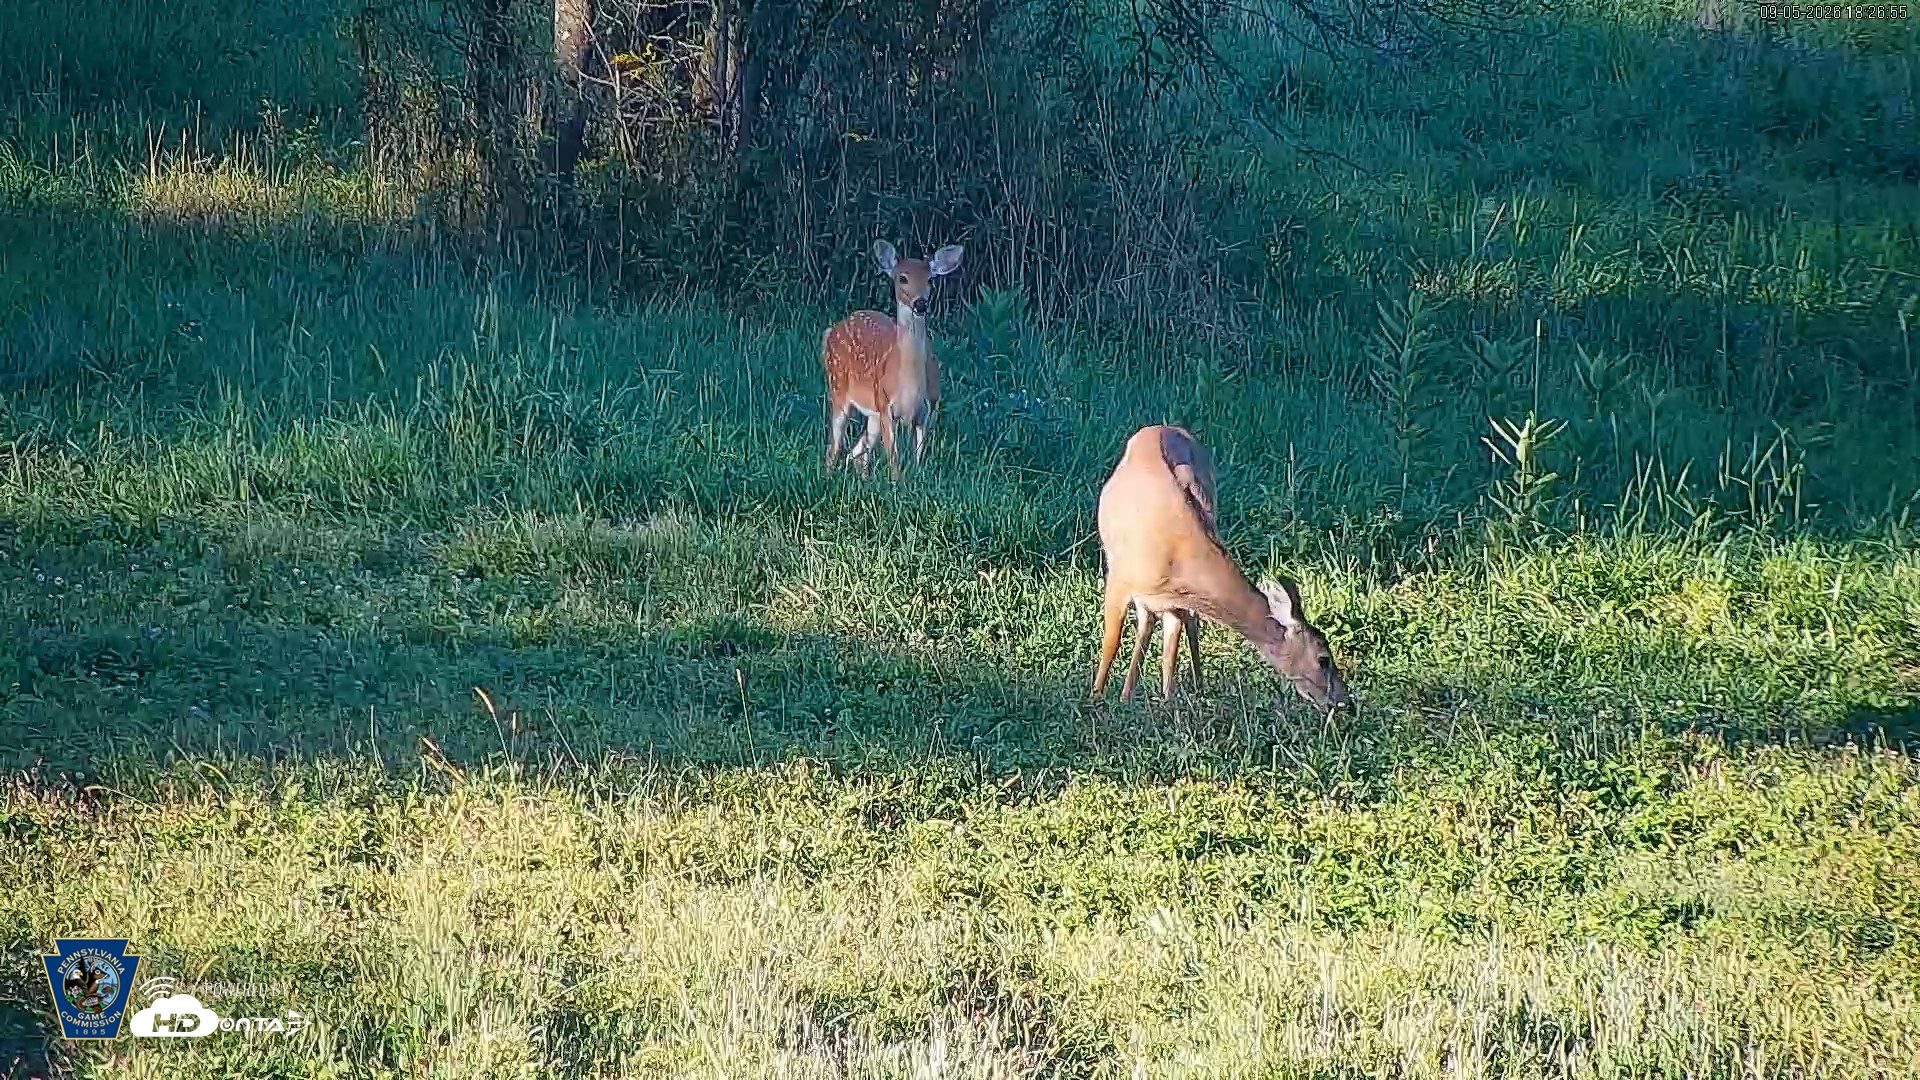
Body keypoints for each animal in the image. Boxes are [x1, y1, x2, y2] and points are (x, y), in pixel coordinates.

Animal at [822, 239, 963, 479]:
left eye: (930, 279)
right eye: (902, 278)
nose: (920, 304)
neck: (910, 386)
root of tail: (832, 330)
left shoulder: (928, 408)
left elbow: (918, 459)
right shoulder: (885, 405)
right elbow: (895, 462)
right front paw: (897, 484)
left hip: (872, 413)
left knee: (858, 451)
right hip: (839, 388)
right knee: (834, 448)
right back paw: (828, 476)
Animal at [1091, 425, 1352, 710]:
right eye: (1323, 658)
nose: (1345, 702)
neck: (1178, 556)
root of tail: (1161, 427)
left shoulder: (1173, 600)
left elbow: (1171, 644)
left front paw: (1166, 700)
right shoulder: (1119, 578)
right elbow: (1112, 641)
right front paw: (1095, 697)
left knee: (1171, 624)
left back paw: (1182, 689)